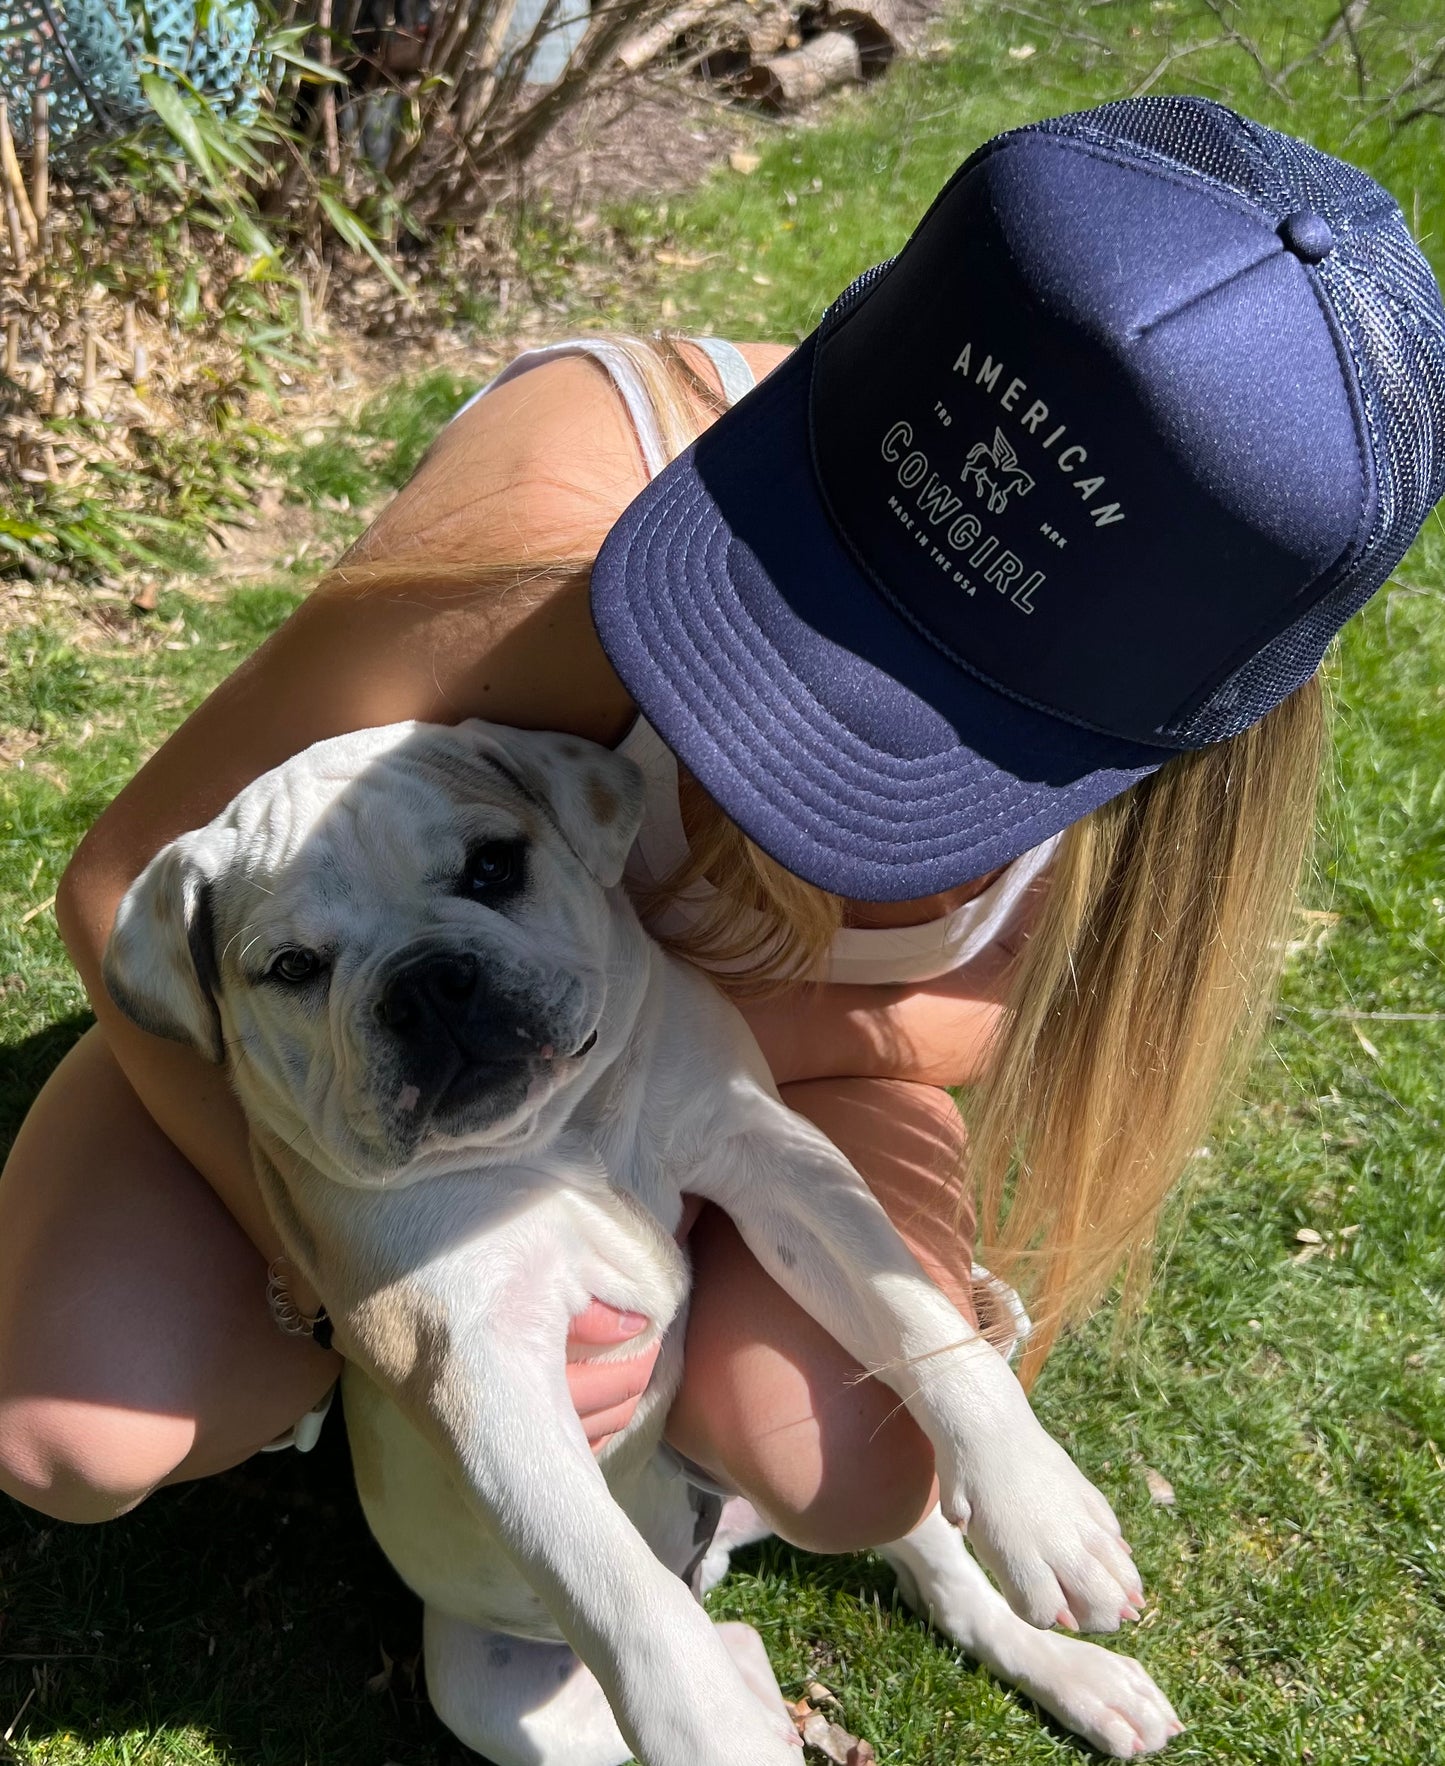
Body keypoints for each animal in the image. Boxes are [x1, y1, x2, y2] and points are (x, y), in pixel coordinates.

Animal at [104, 716, 1180, 1766]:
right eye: (291, 967)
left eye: (492, 866)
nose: (425, 982)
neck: (558, 1132)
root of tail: (718, 1552)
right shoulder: (472, 1356)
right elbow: (604, 1568)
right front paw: (708, 1725)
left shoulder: (775, 1157)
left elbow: (907, 1309)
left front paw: (1035, 1498)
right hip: (494, 1697)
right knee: (713, 1633)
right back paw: (754, 1695)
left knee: (943, 1580)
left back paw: (1082, 1676)